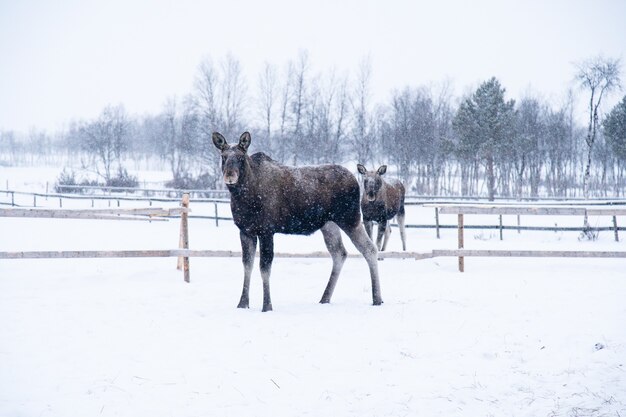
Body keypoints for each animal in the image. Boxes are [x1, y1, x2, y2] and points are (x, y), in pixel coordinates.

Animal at [213, 132, 380, 310]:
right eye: (223, 157)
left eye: (241, 157)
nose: (230, 175)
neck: (244, 196)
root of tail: (356, 180)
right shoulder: (245, 231)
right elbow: (247, 266)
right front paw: (242, 303)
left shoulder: (266, 230)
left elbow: (264, 268)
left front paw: (267, 306)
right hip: (329, 224)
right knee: (339, 253)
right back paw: (325, 298)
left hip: (350, 218)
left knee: (370, 249)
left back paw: (377, 298)